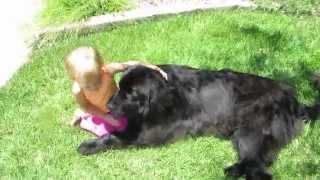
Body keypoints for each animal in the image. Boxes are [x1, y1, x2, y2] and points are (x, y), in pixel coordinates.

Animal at [78, 65, 320, 180]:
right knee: (261, 160)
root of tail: (293, 100)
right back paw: (234, 170)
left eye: (130, 94)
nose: (108, 105)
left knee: (259, 166)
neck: (166, 93)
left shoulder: (154, 131)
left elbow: (118, 136)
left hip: (249, 131)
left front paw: (89, 145)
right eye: (119, 88)